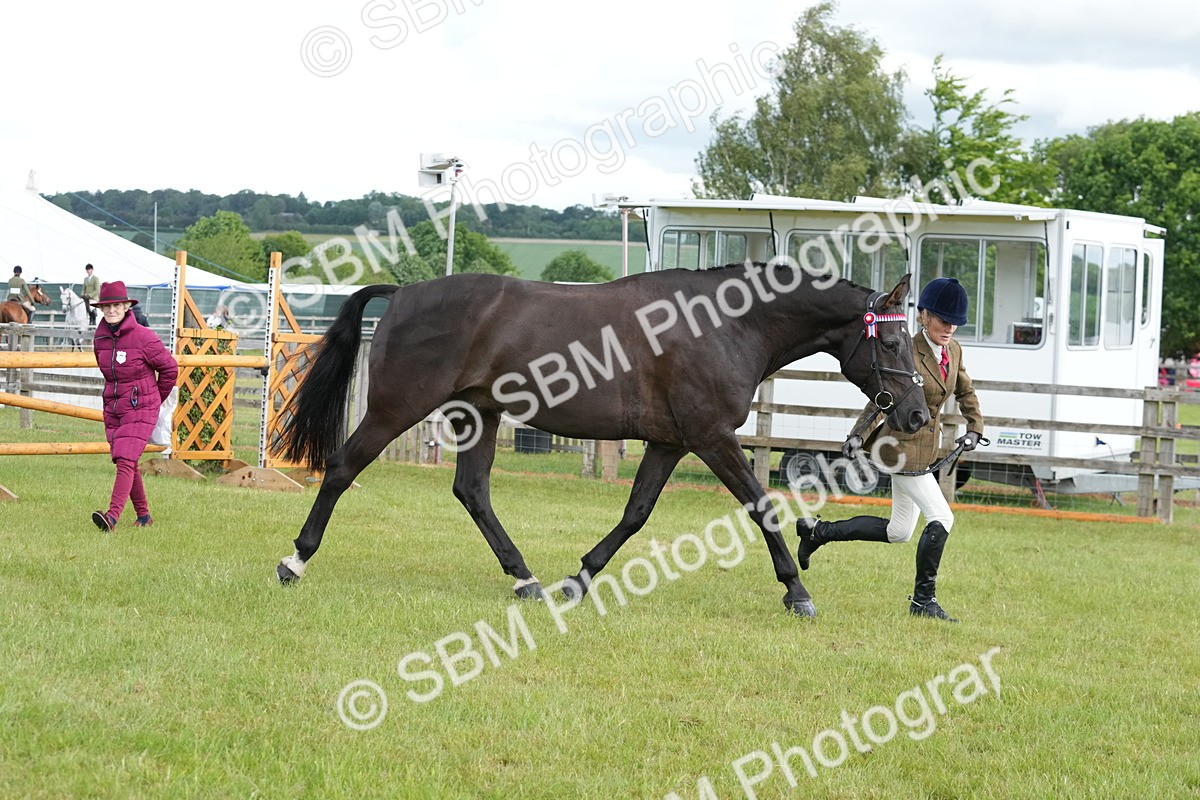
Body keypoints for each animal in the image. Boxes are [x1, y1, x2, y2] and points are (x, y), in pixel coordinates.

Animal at [273, 263, 930, 616]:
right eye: (894, 342)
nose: (919, 415)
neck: (727, 324)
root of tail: (404, 293)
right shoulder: (712, 437)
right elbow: (760, 506)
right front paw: (796, 591)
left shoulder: (670, 443)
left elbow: (636, 513)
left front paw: (580, 578)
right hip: (396, 408)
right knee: (343, 467)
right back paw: (294, 561)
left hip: (478, 415)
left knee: (473, 491)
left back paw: (526, 578)